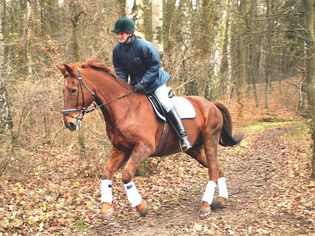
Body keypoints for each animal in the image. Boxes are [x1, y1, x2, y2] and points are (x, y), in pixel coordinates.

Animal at [57, 59, 244, 218]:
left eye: (73, 90)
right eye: (63, 91)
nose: (69, 124)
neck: (125, 109)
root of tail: (212, 104)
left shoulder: (143, 148)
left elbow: (126, 175)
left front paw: (141, 207)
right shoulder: (120, 149)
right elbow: (106, 173)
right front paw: (106, 208)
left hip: (209, 140)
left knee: (213, 170)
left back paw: (205, 205)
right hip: (194, 149)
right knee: (217, 168)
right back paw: (221, 200)